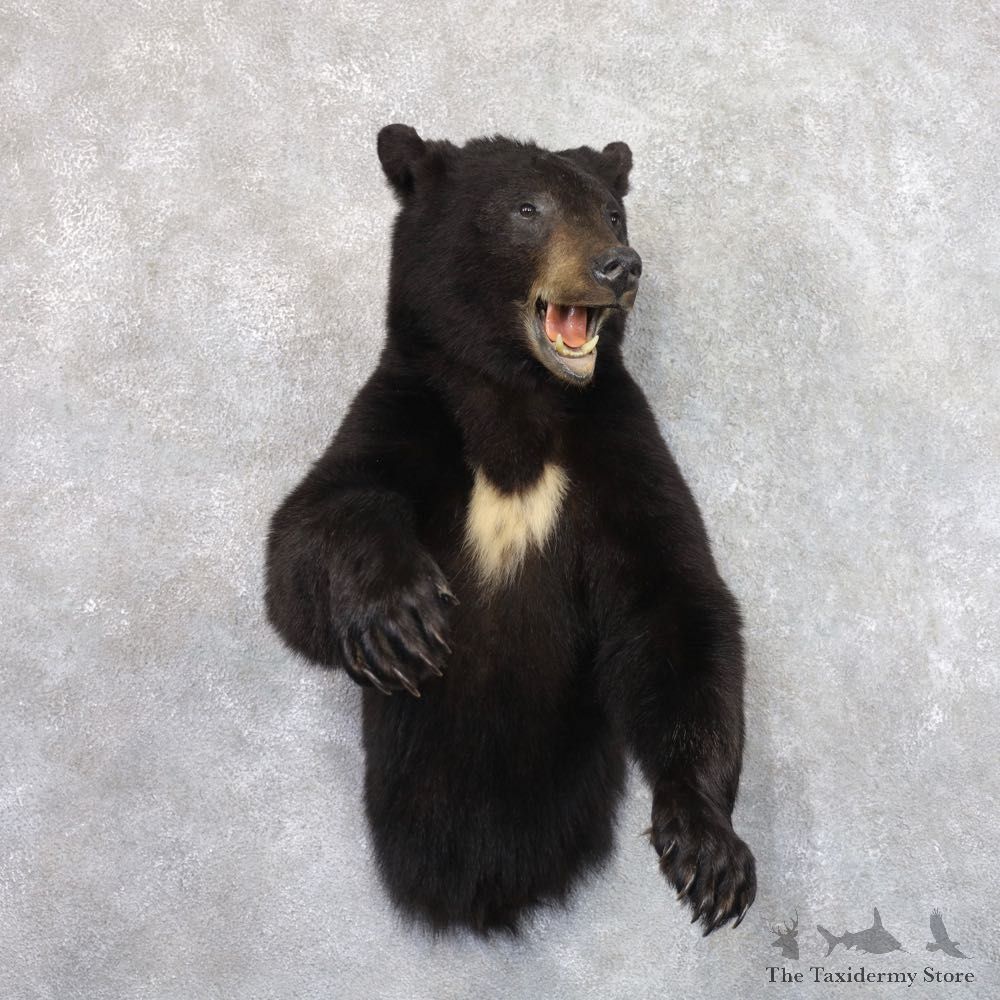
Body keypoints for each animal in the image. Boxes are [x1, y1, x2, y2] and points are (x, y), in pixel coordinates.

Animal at [265, 124, 756, 936]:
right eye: (529, 208)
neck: (515, 402)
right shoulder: (413, 408)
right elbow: (305, 539)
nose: (619, 265)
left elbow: (676, 601)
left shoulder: (616, 450)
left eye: (613, 213)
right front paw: (399, 617)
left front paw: (709, 848)